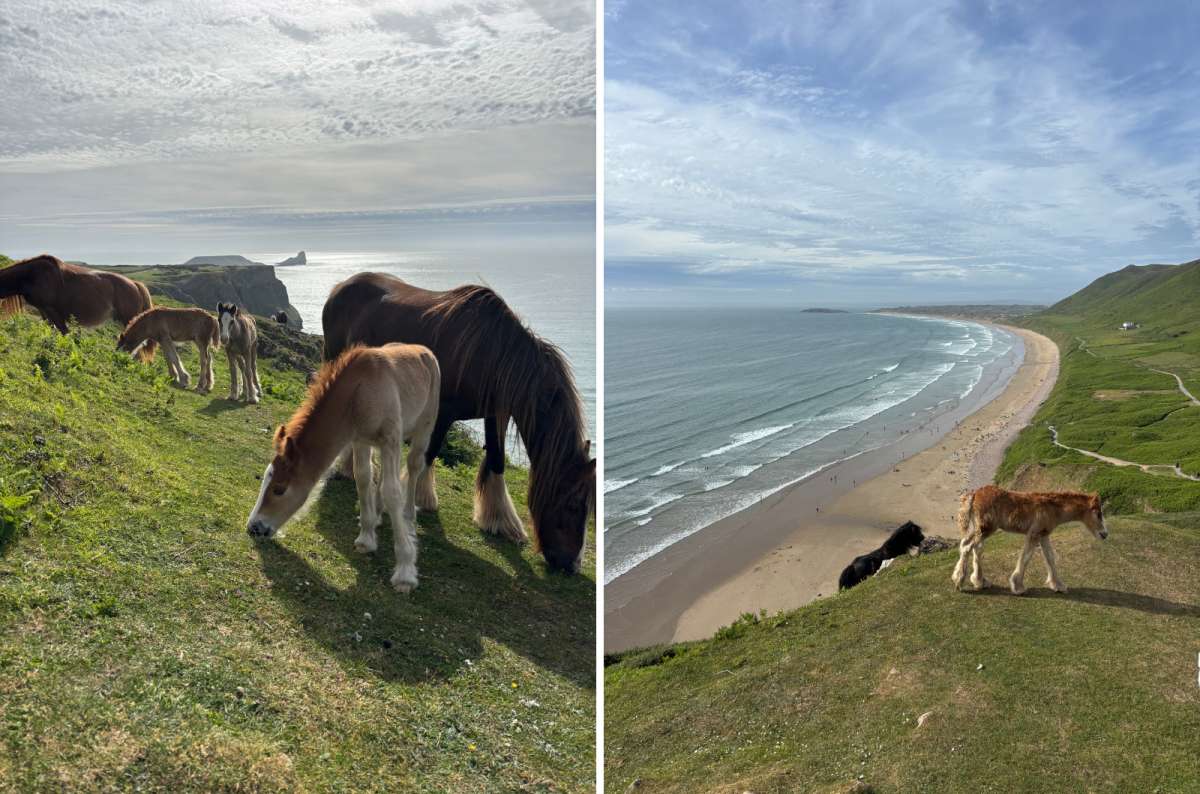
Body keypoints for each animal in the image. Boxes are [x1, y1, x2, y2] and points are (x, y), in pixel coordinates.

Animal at [0, 254, 156, 359]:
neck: (32, 275)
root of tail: (135, 284)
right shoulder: (44, 311)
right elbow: (52, 330)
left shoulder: (52, 311)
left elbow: (64, 332)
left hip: (129, 320)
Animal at [247, 343, 441, 593]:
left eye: (280, 489)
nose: (253, 527)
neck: (359, 392)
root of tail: (425, 350)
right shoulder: (360, 440)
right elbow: (363, 478)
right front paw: (366, 538)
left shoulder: (390, 439)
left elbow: (392, 491)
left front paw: (405, 571)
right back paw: (378, 514)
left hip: (423, 428)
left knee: (414, 465)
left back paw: (408, 516)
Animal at [321, 272, 594, 574]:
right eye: (573, 505)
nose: (571, 564)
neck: (494, 353)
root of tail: (341, 287)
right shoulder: (441, 412)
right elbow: (428, 455)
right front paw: (415, 502)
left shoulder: (494, 413)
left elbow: (497, 459)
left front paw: (500, 521)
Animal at [952, 485, 1109, 595]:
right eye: (1098, 514)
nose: (1105, 534)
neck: (1052, 509)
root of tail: (974, 494)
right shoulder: (1034, 534)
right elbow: (1026, 556)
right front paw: (1018, 587)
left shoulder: (1044, 535)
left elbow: (1050, 557)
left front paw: (1058, 585)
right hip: (986, 528)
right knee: (968, 547)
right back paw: (959, 582)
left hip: (980, 529)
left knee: (970, 545)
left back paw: (979, 581)